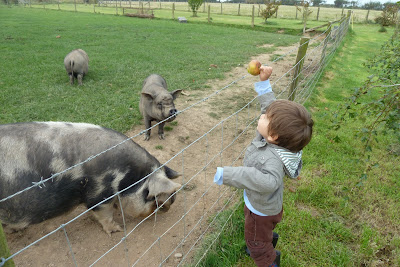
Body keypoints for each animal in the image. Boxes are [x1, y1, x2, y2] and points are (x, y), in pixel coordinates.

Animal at [0, 121, 181, 237]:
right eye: (152, 197)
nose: (169, 205)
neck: (126, 177)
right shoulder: (99, 193)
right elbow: (104, 213)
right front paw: (117, 230)